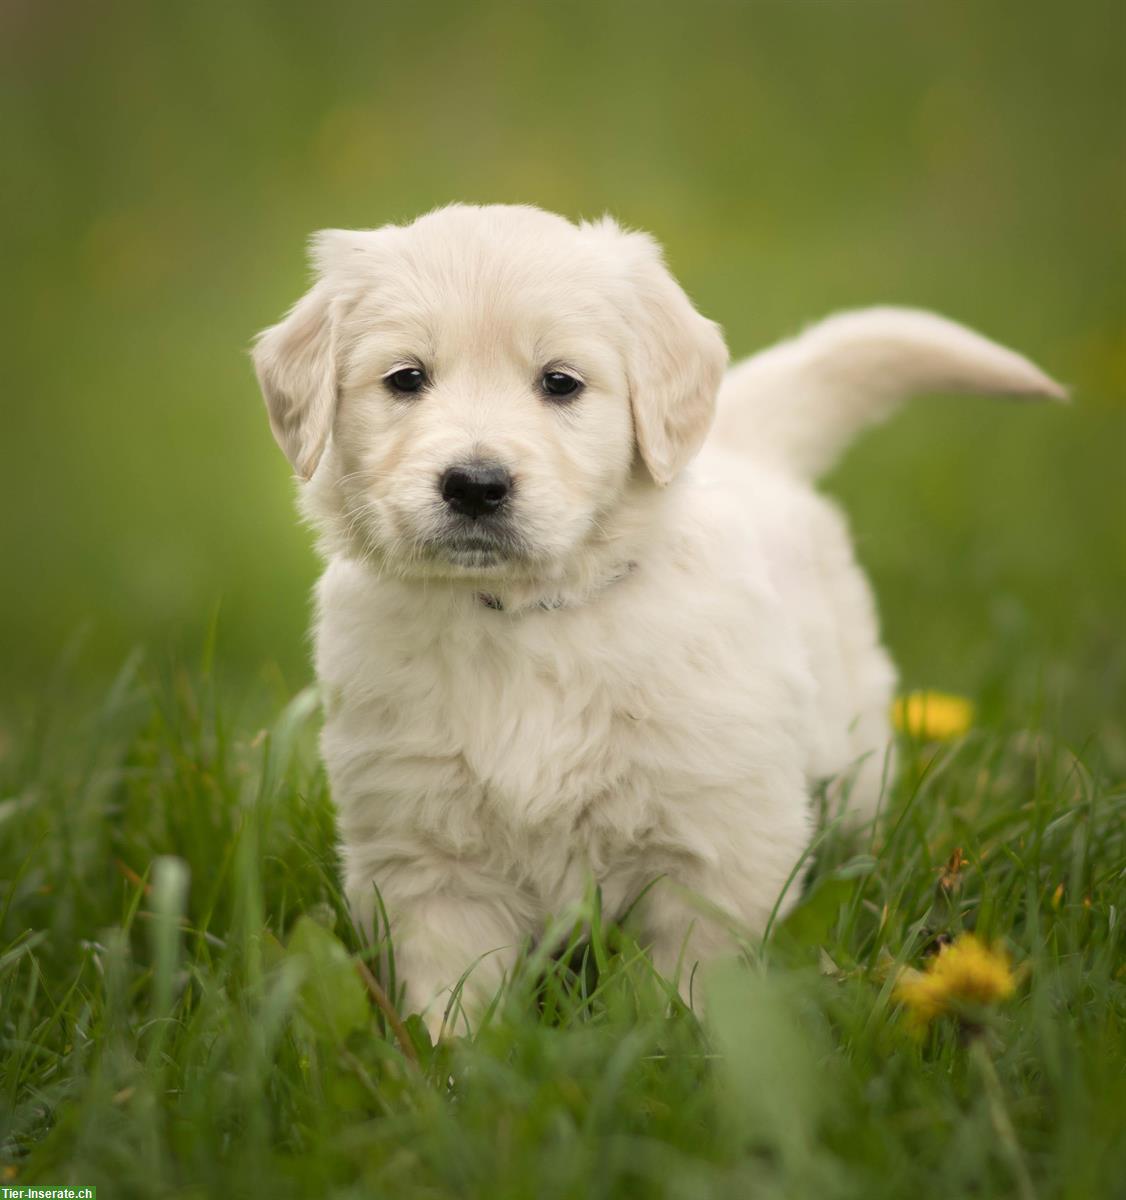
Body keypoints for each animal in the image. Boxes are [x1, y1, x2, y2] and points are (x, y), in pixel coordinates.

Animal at [254, 201, 1061, 1027]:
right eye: (407, 378)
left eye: (560, 383)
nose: (475, 485)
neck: (529, 615)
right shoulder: (425, 848)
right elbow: (453, 986)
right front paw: (447, 1054)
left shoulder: (716, 837)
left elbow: (697, 978)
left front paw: (687, 1039)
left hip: (857, 749)